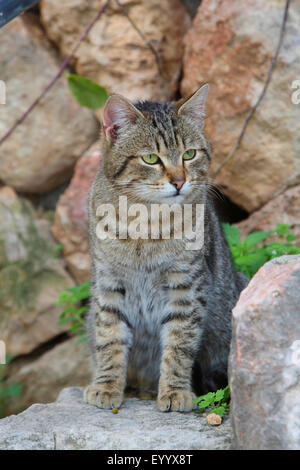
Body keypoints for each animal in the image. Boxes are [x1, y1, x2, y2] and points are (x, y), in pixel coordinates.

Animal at [83, 84, 247, 412]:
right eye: (150, 158)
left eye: (189, 154)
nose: (179, 181)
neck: (145, 225)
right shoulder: (108, 283)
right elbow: (109, 338)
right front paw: (106, 385)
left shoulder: (187, 286)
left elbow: (179, 344)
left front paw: (174, 391)